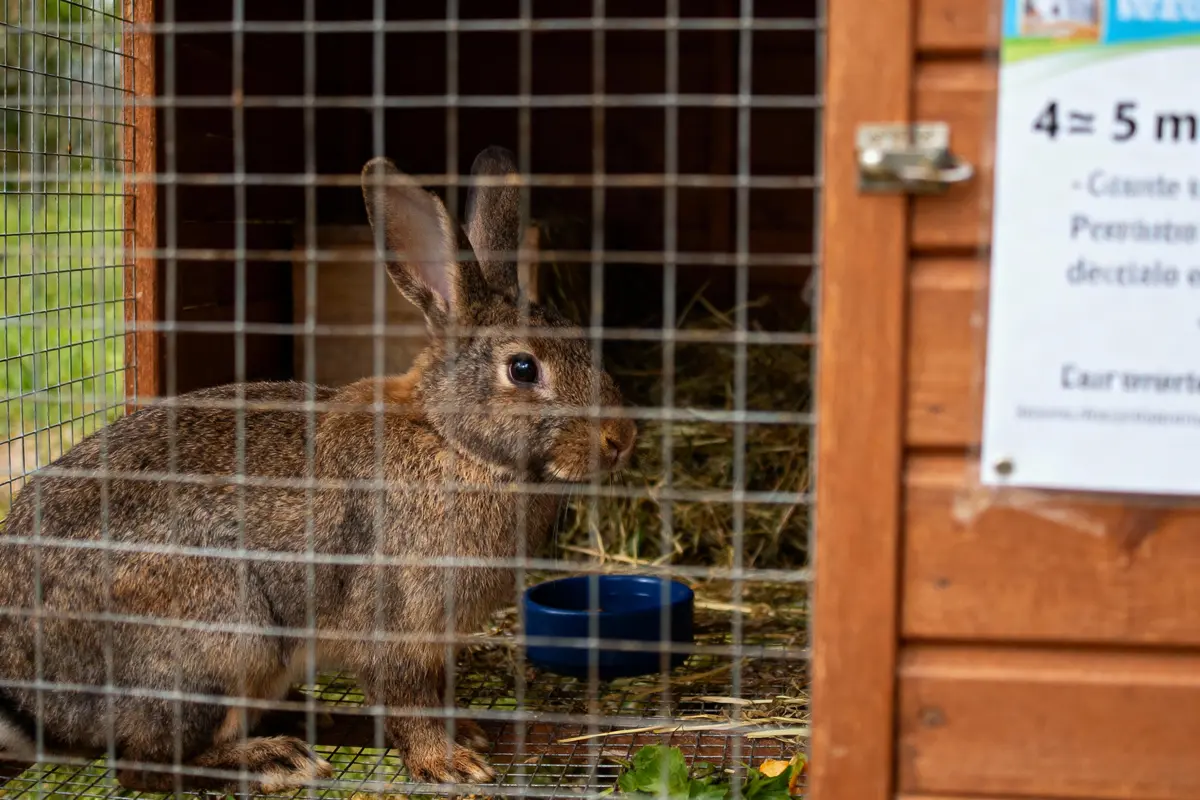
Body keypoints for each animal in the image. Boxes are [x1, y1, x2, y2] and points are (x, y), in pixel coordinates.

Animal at [0, 145, 638, 793]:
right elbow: (408, 703)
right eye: (524, 368)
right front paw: (449, 763)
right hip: (224, 641)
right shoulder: (397, 625)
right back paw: (273, 759)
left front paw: (467, 733)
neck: (452, 439)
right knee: (145, 762)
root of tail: (33, 698)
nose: (621, 438)